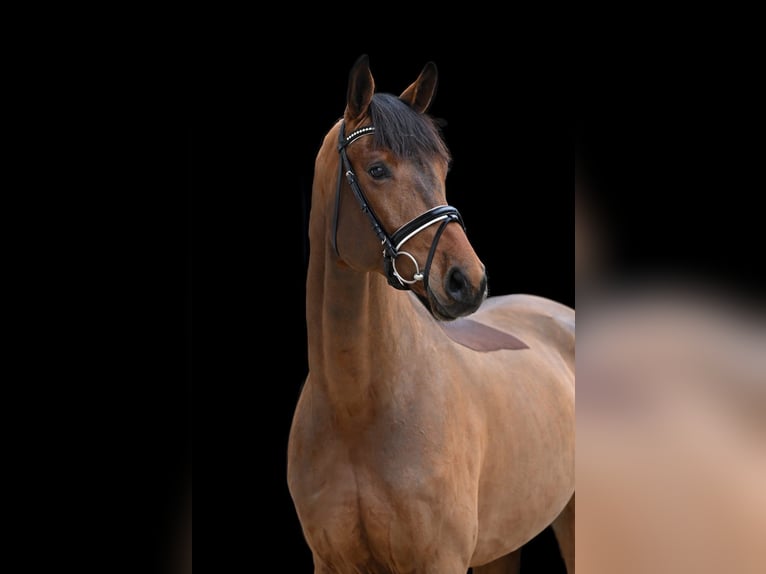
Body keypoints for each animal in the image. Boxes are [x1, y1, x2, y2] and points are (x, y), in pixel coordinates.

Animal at [287, 54, 575, 574]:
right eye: (377, 169)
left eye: (442, 166)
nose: (468, 281)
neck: (354, 408)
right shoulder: (330, 562)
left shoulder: (440, 560)